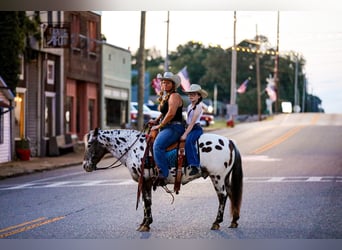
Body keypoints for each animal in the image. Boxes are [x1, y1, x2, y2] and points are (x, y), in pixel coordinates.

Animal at [83, 128, 243, 231]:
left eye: (89, 144)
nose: (85, 166)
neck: (133, 148)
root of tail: (229, 141)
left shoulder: (145, 181)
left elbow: (147, 202)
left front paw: (146, 224)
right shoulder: (145, 183)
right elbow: (146, 201)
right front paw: (144, 222)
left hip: (217, 177)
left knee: (222, 196)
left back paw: (217, 222)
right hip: (224, 178)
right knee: (232, 195)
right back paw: (234, 221)